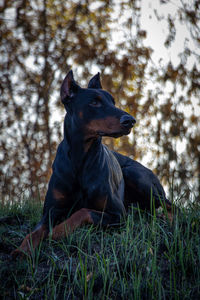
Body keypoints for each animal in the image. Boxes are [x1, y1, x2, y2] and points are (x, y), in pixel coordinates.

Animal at [11, 71, 173, 258]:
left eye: (113, 102)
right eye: (94, 102)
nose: (130, 121)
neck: (80, 157)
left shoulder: (118, 214)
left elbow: (83, 212)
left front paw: (58, 231)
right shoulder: (50, 211)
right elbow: (34, 232)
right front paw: (21, 250)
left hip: (135, 175)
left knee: (169, 205)